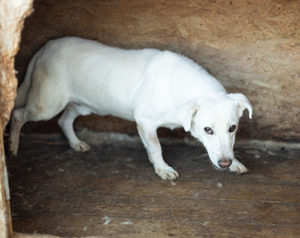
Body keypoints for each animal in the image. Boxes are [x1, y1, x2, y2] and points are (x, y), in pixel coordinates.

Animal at [9, 36, 252, 179]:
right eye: (207, 130)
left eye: (233, 128)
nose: (224, 163)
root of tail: (45, 48)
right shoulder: (145, 122)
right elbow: (156, 147)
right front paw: (162, 168)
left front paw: (235, 163)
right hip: (47, 104)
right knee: (18, 114)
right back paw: (12, 148)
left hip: (82, 106)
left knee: (64, 120)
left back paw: (76, 143)